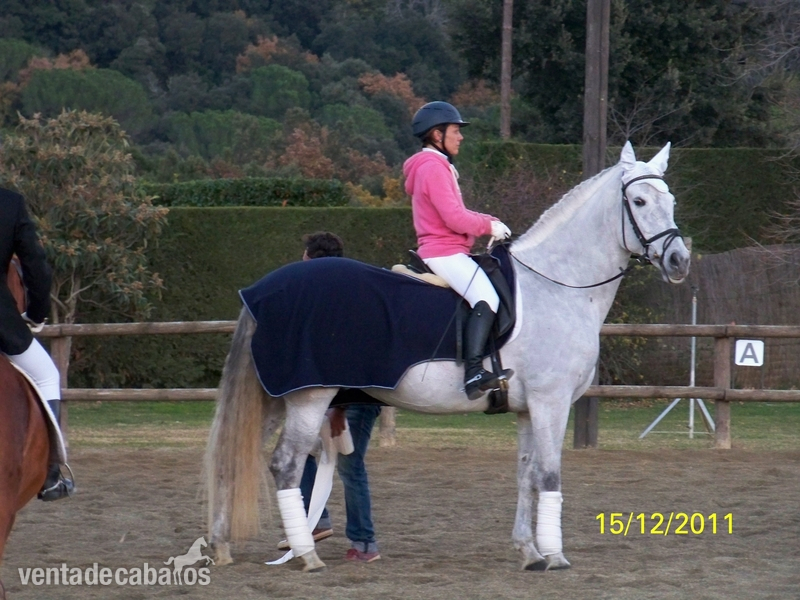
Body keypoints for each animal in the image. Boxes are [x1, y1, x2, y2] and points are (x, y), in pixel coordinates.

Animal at [204, 141, 691, 572]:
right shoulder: (550, 403)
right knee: (286, 465)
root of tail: (265, 289)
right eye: (639, 200)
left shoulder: (528, 409)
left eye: (671, 199)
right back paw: (306, 555)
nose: (679, 260)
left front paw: (529, 551)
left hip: (277, 395)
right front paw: (554, 556)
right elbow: (550, 476)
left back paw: (221, 546)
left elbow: (527, 475)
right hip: (310, 397)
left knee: (237, 460)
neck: (556, 284)